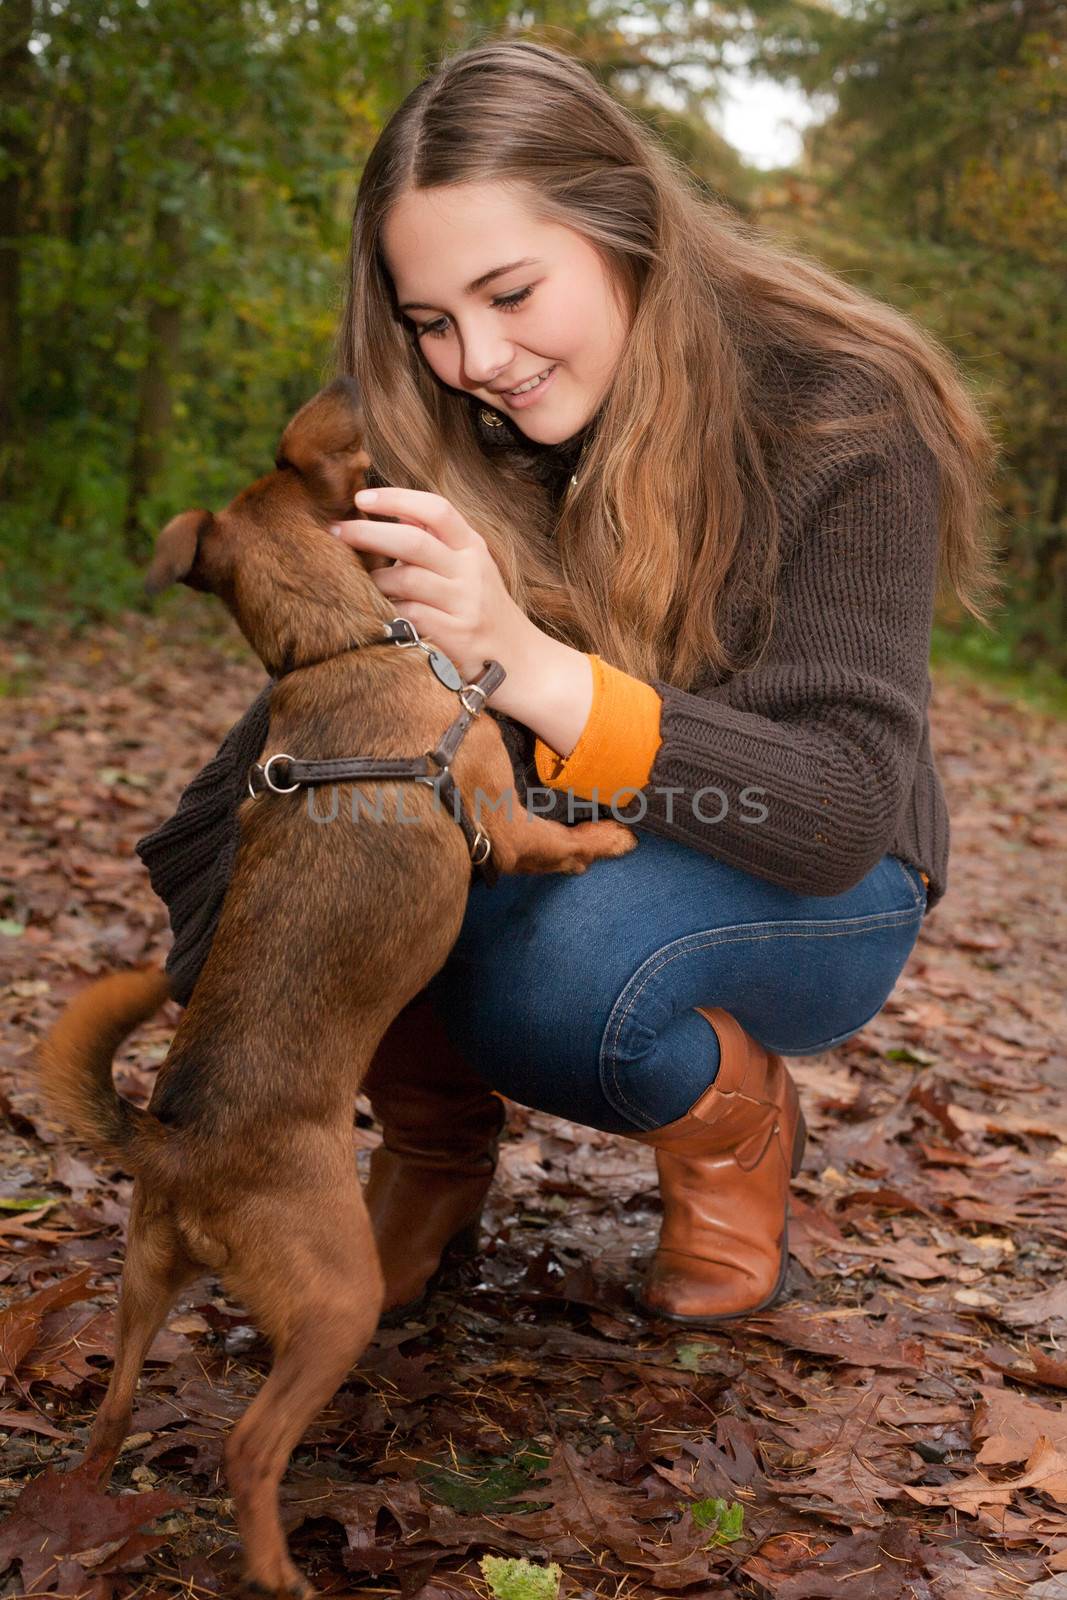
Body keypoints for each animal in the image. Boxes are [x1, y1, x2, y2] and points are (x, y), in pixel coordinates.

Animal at [35, 377, 633, 1600]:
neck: (329, 649)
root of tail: (179, 1149)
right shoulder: (502, 823)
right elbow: (551, 843)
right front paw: (609, 840)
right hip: (333, 1302)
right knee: (247, 1445)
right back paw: (277, 1570)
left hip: (141, 1278)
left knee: (112, 1410)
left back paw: (90, 1502)